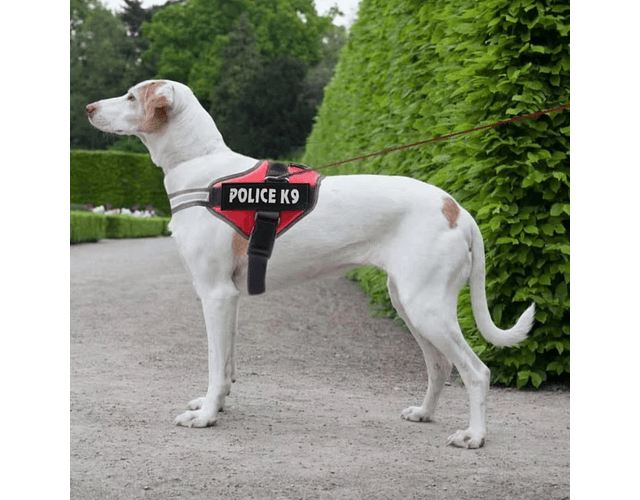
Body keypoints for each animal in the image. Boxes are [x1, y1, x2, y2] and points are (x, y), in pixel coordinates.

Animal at [86, 79, 535, 449]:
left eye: (131, 97)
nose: (89, 107)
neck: (202, 169)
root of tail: (457, 209)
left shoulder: (214, 295)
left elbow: (215, 365)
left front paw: (208, 416)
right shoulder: (230, 299)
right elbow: (227, 365)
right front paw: (219, 406)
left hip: (427, 308)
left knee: (476, 372)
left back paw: (475, 435)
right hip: (409, 303)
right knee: (441, 365)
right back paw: (424, 413)